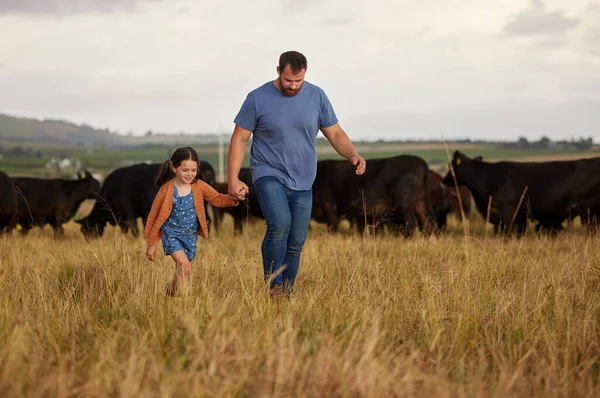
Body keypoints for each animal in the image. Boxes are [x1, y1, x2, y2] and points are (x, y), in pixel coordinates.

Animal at [76, 161, 218, 236]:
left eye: (86, 230)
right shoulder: (142, 214)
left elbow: (134, 230)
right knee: (208, 220)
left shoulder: (129, 213)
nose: (89, 241)